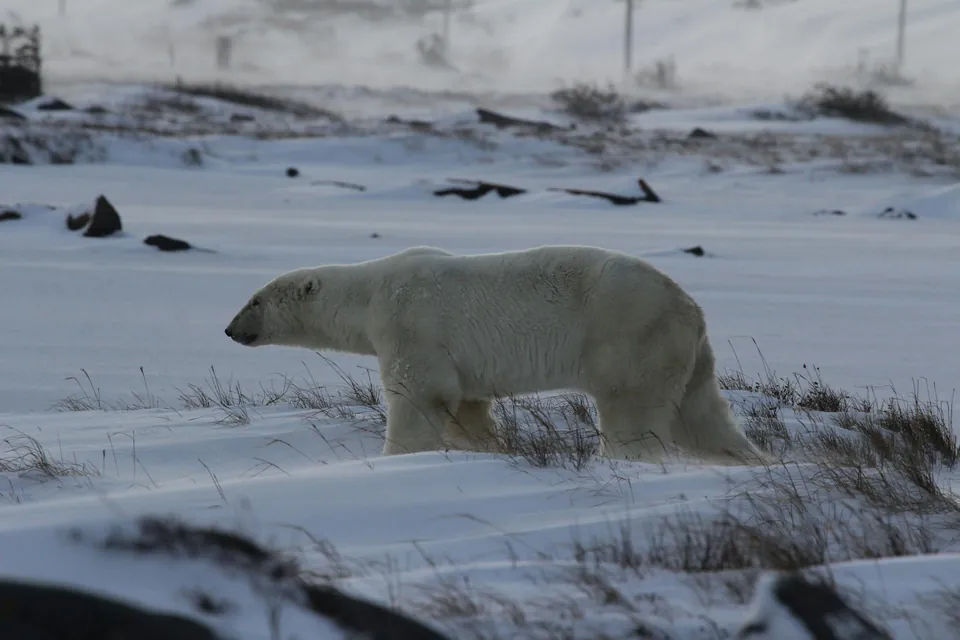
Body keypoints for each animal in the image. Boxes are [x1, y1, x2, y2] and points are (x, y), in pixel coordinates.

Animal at [225, 246, 764, 464]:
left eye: (255, 300)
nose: (230, 330)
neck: (370, 291)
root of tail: (691, 307)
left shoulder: (409, 324)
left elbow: (418, 394)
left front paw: (397, 455)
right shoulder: (459, 361)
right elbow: (467, 407)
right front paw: (487, 447)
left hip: (630, 336)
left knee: (632, 410)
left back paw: (625, 458)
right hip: (686, 353)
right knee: (703, 414)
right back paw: (747, 459)